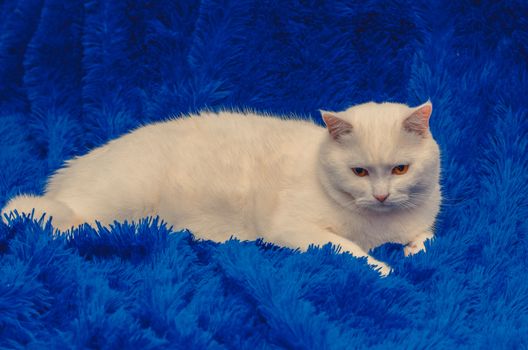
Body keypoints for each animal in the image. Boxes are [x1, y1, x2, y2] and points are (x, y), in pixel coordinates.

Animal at [2, 101, 442, 276]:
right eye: (360, 172)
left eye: (400, 169)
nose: (381, 195)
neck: (378, 227)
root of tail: (65, 175)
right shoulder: (293, 228)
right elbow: (346, 248)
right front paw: (383, 268)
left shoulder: (422, 221)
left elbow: (429, 237)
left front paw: (413, 252)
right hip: (107, 202)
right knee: (58, 223)